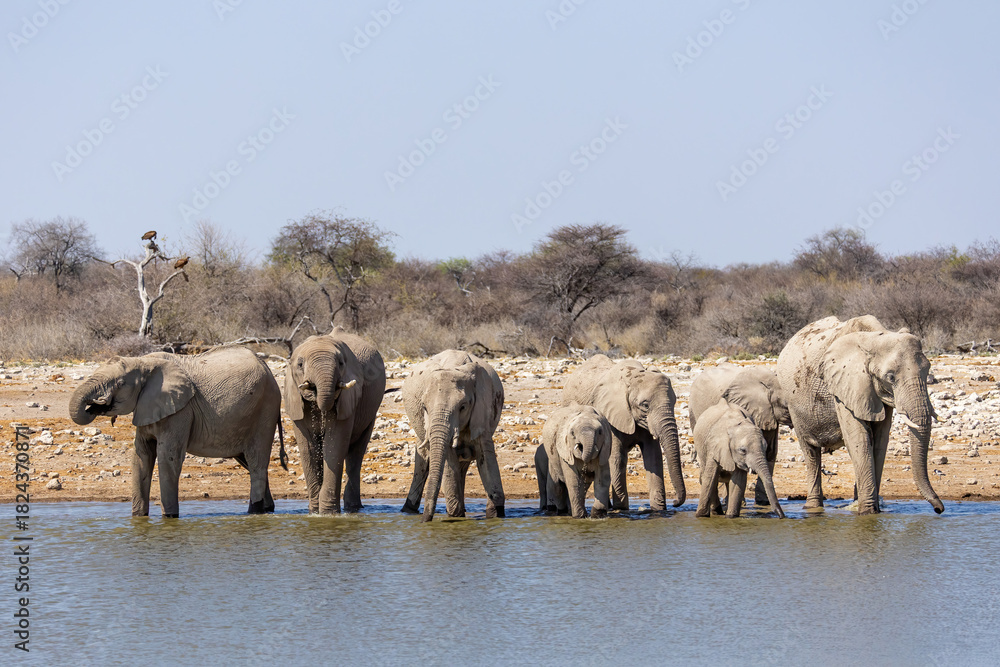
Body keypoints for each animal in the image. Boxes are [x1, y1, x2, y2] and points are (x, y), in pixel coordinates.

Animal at [68, 347, 285, 518]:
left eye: (120, 384)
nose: (95, 406)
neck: (144, 361)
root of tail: (267, 368)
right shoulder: (147, 408)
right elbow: (141, 456)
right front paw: (138, 517)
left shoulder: (181, 410)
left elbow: (168, 457)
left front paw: (170, 518)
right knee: (248, 462)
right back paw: (267, 509)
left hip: (265, 410)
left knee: (256, 463)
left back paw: (255, 512)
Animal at [284, 327, 386, 515]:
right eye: (300, 365)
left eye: (340, 363)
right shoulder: (294, 399)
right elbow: (308, 449)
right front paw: (315, 513)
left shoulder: (348, 399)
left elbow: (334, 444)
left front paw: (328, 513)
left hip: (370, 412)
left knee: (356, 453)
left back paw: (353, 508)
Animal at [400, 350, 505, 522]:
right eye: (424, 408)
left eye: (463, 407)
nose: (425, 521)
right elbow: (449, 464)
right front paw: (456, 515)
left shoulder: (483, 410)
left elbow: (486, 459)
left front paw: (496, 514)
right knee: (424, 457)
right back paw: (408, 510)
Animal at [562, 355, 684, 511]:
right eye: (645, 405)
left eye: (674, 402)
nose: (675, 502)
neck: (632, 377)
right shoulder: (611, 417)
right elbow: (617, 458)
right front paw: (621, 509)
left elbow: (653, 456)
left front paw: (659, 510)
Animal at [776, 315, 944, 514]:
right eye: (890, 377)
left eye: (928, 371)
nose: (939, 509)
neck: (874, 338)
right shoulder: (843, 386)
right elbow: (859, 439)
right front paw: (867, 512)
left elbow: (879, 442)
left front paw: (867, 510)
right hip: (794, 405)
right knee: (810, 452)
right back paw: (812, 508)